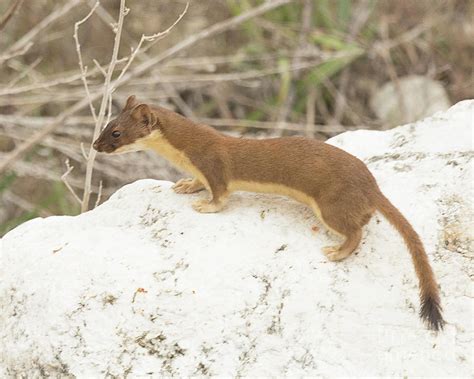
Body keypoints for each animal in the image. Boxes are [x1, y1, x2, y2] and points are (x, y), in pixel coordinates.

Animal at [91, 95, 444, 332]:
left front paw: (204, 205)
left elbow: (220, 195)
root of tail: (371, 184)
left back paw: (336, 251)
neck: (185, 154)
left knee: (355, 231)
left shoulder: (214, 165)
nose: (95, 146)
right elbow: (198, 183)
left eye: (116, 133)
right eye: (106, 125)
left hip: (330, 204)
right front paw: (185, 185)